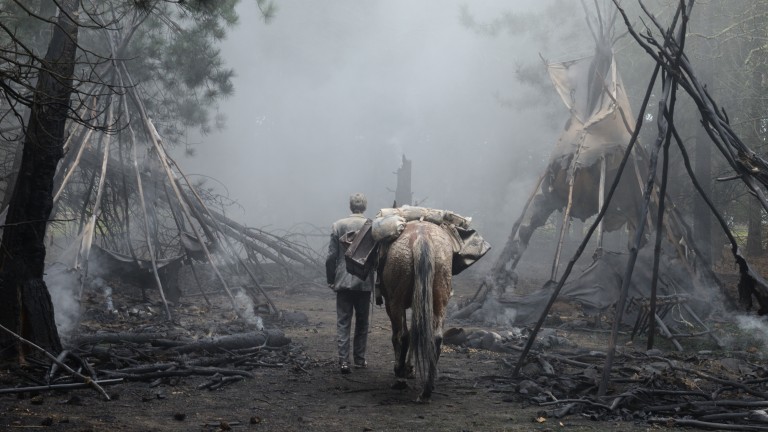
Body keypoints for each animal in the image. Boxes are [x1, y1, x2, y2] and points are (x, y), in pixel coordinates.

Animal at [380, 221, 456, 404]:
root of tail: (422, 237)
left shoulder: (391, 303)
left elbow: (400, 335)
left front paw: (402, 370)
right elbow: (417, 332)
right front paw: (409, 368)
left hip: (396, 301)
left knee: (403, 335)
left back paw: (400, 378)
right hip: (439, 299)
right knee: (436, 338)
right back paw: (427, 390)